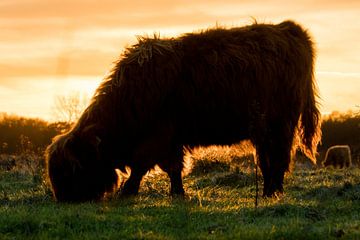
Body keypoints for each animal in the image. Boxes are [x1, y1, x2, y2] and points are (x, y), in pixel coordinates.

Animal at [45, 20, 320, 202]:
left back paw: (273, 192)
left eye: (73, 168)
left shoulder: (158, 136)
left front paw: (128, 191)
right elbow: (174, 168)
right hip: (264, 130)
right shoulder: (171, 139)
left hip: (281, 123)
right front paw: (177, 193)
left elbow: (142, 165)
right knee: (266, 159)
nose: (64, 198)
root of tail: (287, 28)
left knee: (279, 157)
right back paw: (267, 192)